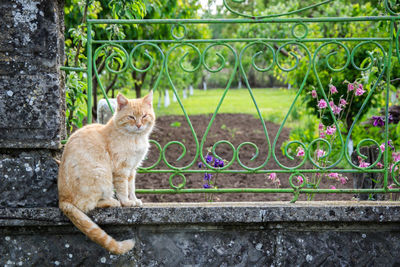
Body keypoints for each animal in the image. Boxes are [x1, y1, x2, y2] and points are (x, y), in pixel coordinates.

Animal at [57, 91, 155, 254]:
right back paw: (113, 201)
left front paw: (134, 200)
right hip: (102, 174)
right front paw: (126, 202)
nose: (139, 125)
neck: (135, 139)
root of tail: (62, 200)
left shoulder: (132, 169)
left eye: (144, 116)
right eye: (131, 117)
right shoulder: (121, 169)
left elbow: (131, 187)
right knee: (88, 205)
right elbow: (123, 189)